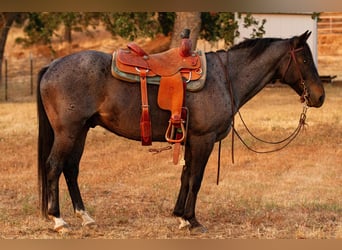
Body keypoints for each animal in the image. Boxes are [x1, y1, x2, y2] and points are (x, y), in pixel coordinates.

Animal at [36, 30, 324, 233]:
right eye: (304, 58)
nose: (319, 96)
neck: (226, 77)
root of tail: (52, 66)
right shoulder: (203, 139)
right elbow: (196, 178)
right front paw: (192, 220)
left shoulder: (189, 140)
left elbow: (185, 176)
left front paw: (180, 217)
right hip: (68, 132)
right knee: (54, 166)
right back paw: (59, 220)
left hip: (81, 130)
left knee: (71, 169)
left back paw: (85, 217)